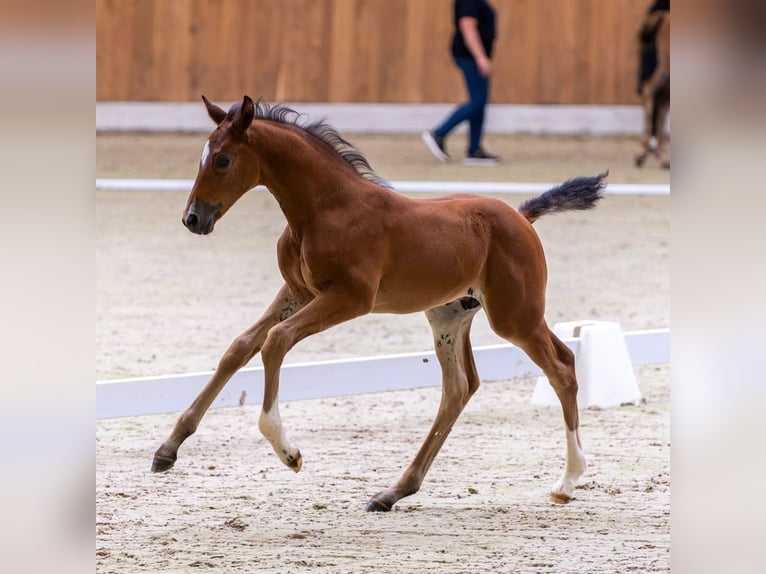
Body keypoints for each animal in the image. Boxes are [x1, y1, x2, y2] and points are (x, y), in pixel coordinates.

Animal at [152, 95, 607, 511]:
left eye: (223, 160)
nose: (193, 219)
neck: (324, 210)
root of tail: (521, 217)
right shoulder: (298, 291)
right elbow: (240, 347)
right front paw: (167, 449)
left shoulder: (350, 298)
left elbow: (276, 341)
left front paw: (289, 452)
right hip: (449, 316)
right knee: (459, 388)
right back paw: (394, 492)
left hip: (515, 316)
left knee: (562, 366)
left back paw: (568, 480)